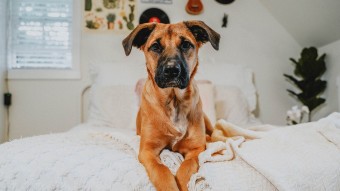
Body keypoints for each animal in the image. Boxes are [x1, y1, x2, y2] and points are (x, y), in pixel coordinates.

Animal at [123, 20, 219, 191]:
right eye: (155, 47)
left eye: (186, 44)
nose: (172, 70)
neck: (173, 101)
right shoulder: (147, 150)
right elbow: (161, 170)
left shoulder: (196, 149)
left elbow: (185, 168)